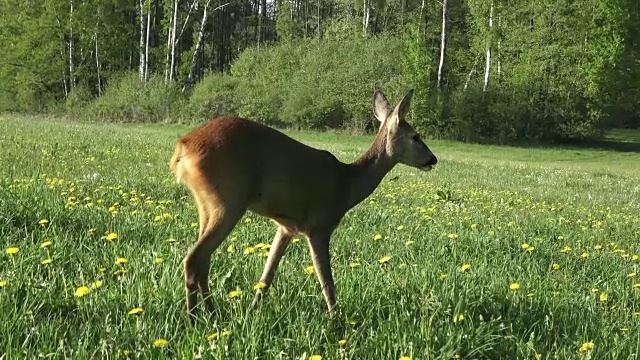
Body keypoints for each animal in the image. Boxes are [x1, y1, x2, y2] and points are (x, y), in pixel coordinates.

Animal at [170, 88, 438, 316]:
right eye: (415, 136)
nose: (433, 159)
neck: (347, 184)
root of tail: (183, 147)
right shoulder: (319, 225)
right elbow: (327, 282)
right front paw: (336, 322)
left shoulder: (286, 227)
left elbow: (267, 276)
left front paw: (253, 309)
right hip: (228, 201)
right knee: (193, 259)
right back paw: (194, 318)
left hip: (207, 204)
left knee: (203, 260)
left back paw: (212, 312)